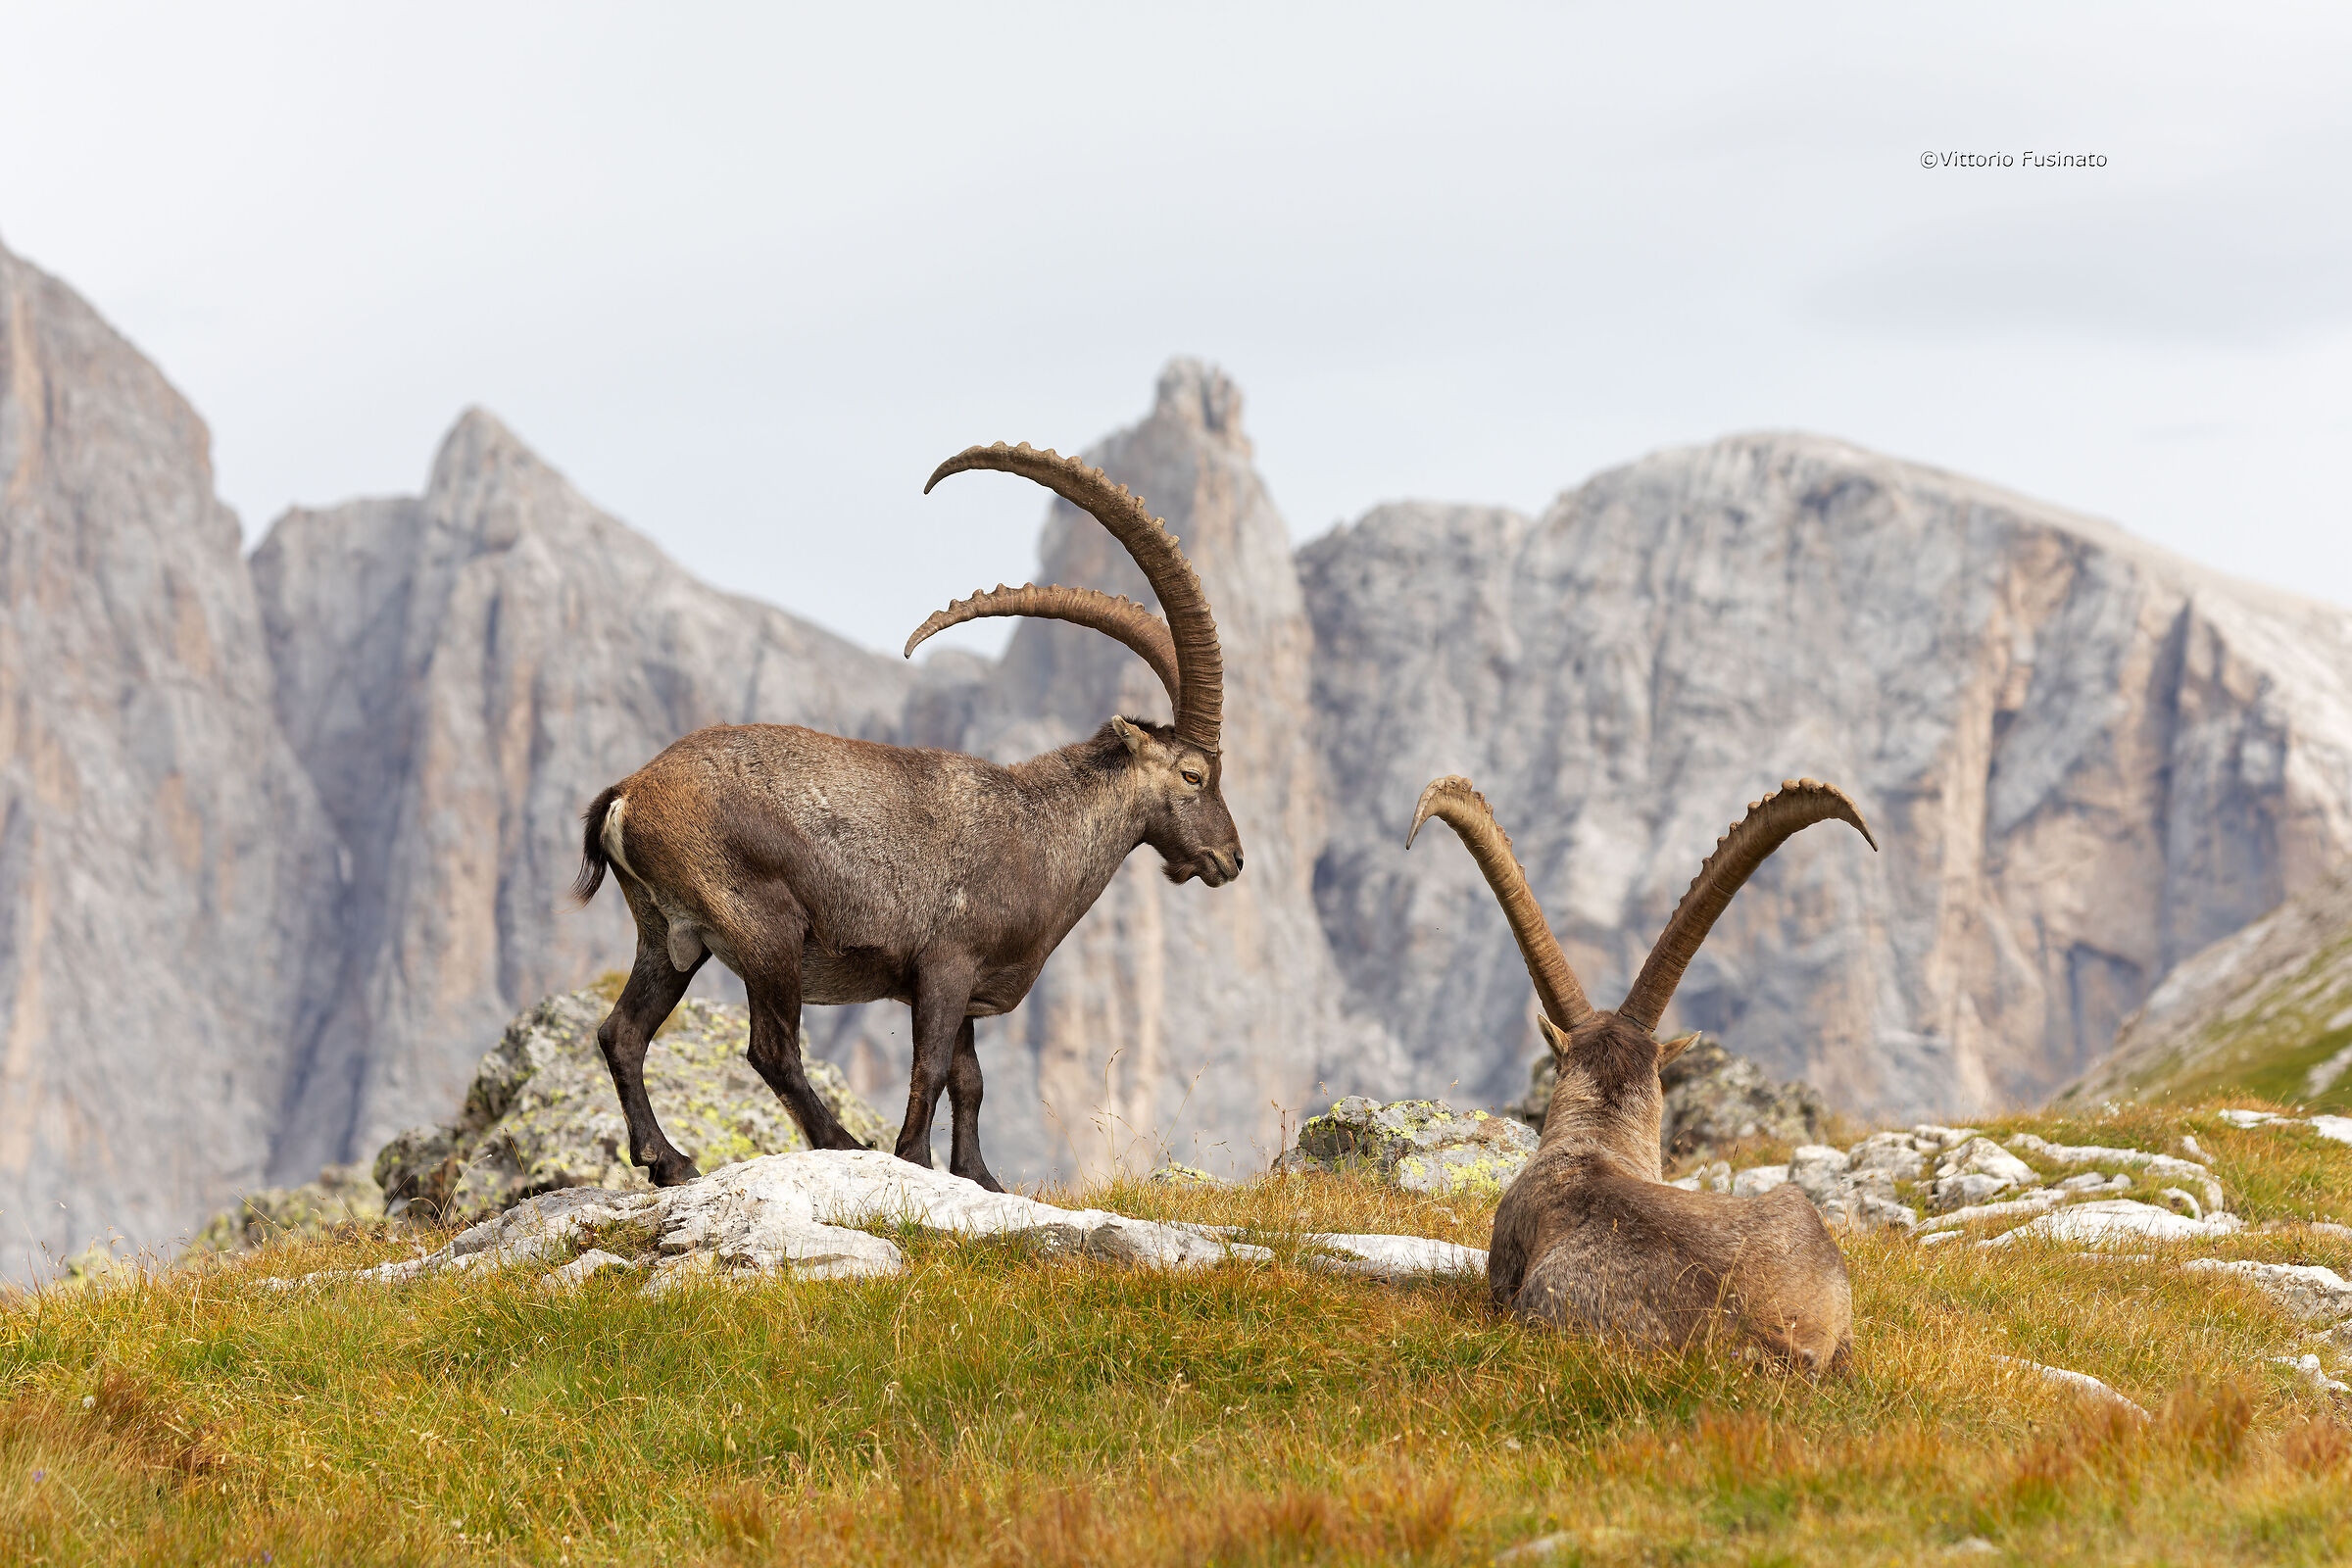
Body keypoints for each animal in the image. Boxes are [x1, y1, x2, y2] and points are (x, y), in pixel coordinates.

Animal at [570, 443, 1242, 1193]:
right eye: (1194, 775)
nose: (1230, 858)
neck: (1040, 825)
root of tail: (629, 792)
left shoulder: (969, 988)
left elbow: (969, 1080)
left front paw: (979, 1178)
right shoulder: (944, 966)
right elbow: (930, 1067)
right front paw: (915, 1160)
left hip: (668, 935)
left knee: (623, 1032)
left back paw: (669, 1161)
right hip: (765, 930)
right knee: (771, 1049)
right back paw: (840, 1142)